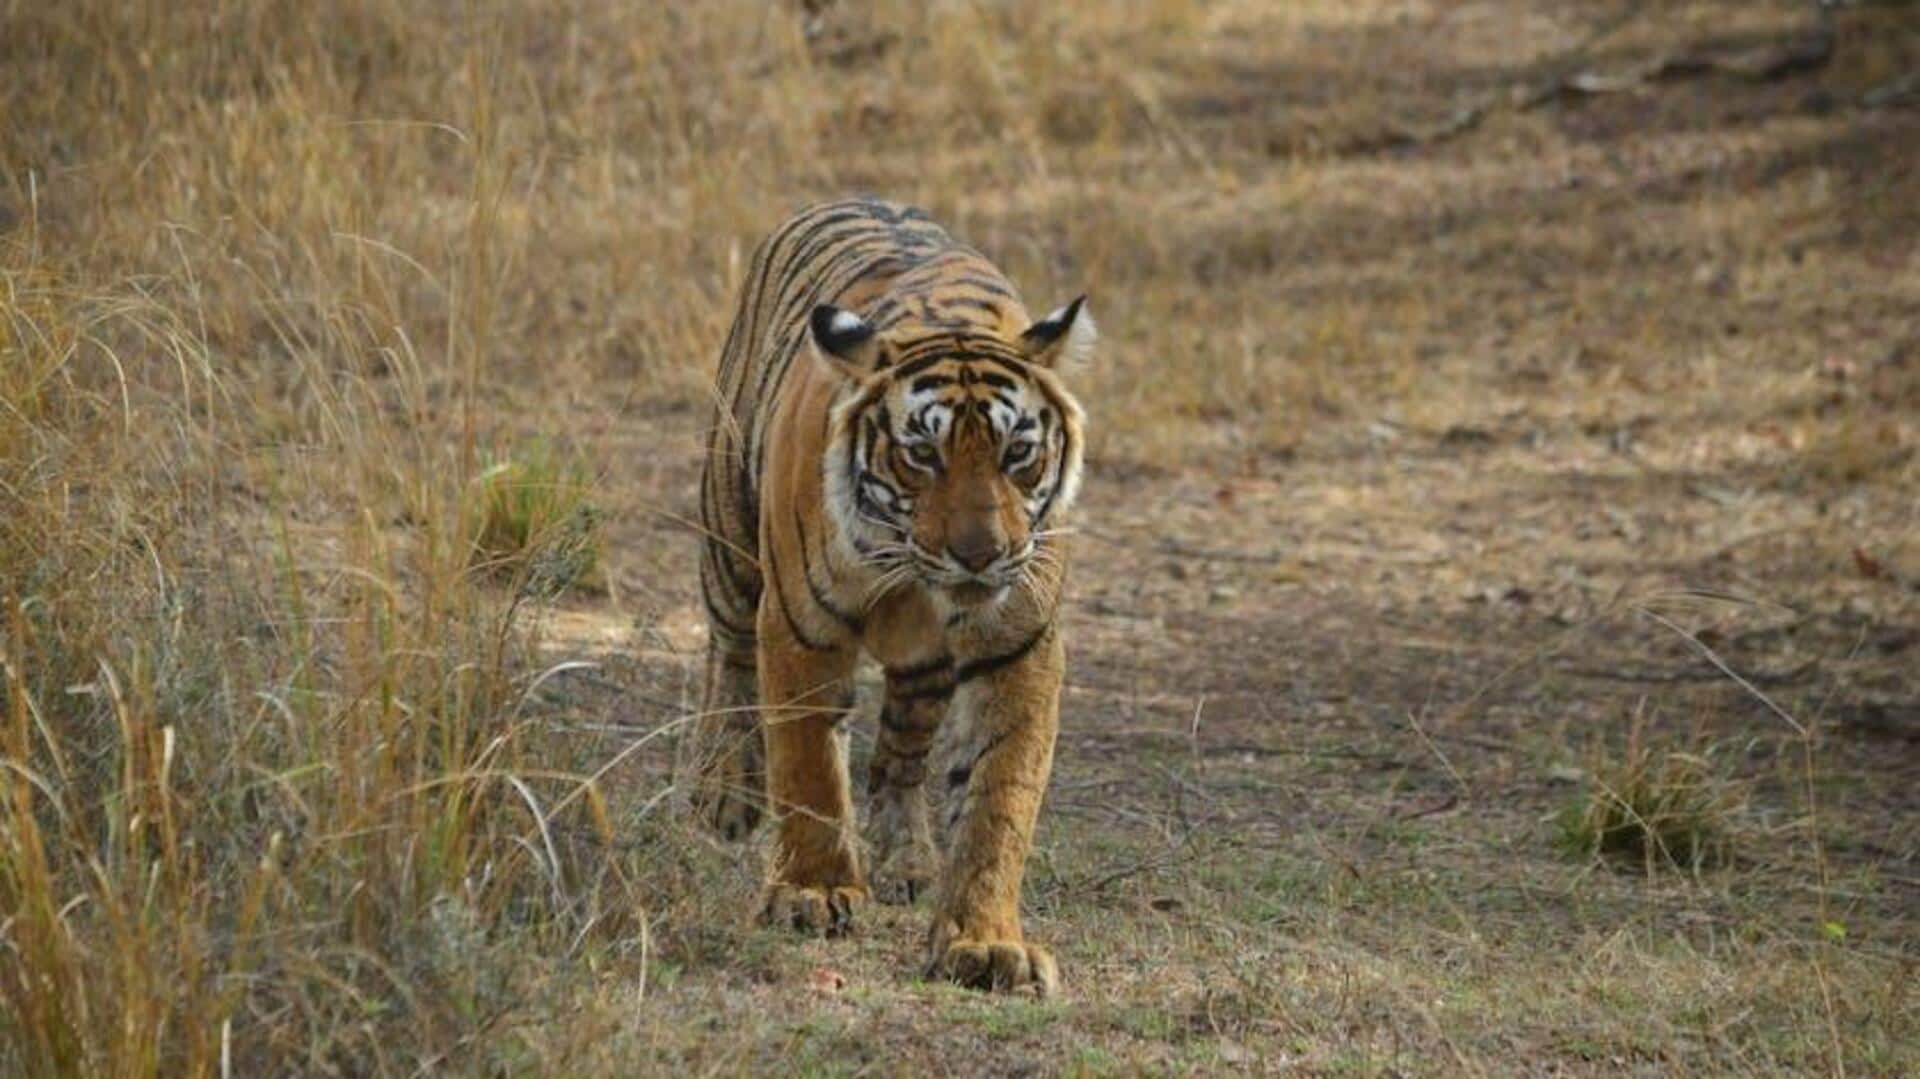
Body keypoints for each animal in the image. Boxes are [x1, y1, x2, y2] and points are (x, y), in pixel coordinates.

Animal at [691, 199, 1090, 990]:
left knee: (901, 756)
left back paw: (907, 859)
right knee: (730, 660)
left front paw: (984, 940)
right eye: (922, 454)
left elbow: (1000, 798)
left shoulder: (1018, 645)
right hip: (730, 541)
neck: (913, 574)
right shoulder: (800, 625)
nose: (980, 553)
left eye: (1017, 453)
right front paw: (811, 893)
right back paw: (726, 793)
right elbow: (809, 766)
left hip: (924, 669)